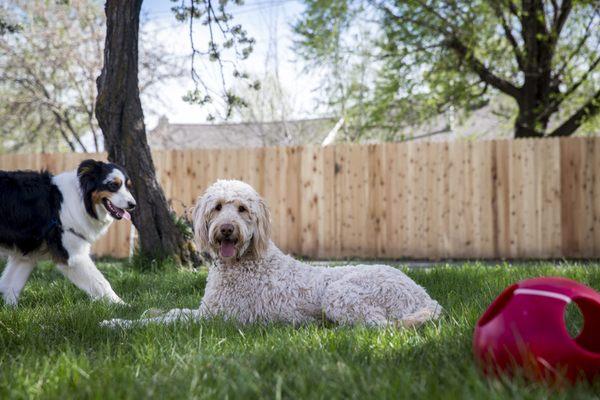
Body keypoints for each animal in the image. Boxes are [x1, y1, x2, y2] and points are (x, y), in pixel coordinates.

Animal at [0, 159, 136, 306]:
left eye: (128, 186)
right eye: (113, 185)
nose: (133, 204)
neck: (82, 201)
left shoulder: (26, 254)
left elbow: (11, 284)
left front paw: (10, 308)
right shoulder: (73, 256)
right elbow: (101, 283)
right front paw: (123, 306)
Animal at [102, 180, 440, 326]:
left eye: (242, 209)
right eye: (217, 207)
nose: (227, 229)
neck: (244, 261)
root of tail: (425, 296)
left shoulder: (218, 318)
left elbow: (165, 322)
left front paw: (118, 323)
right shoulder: (208, 310)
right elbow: (172, 311)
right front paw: (149, 310)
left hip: (341, 294)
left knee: (376, 325)